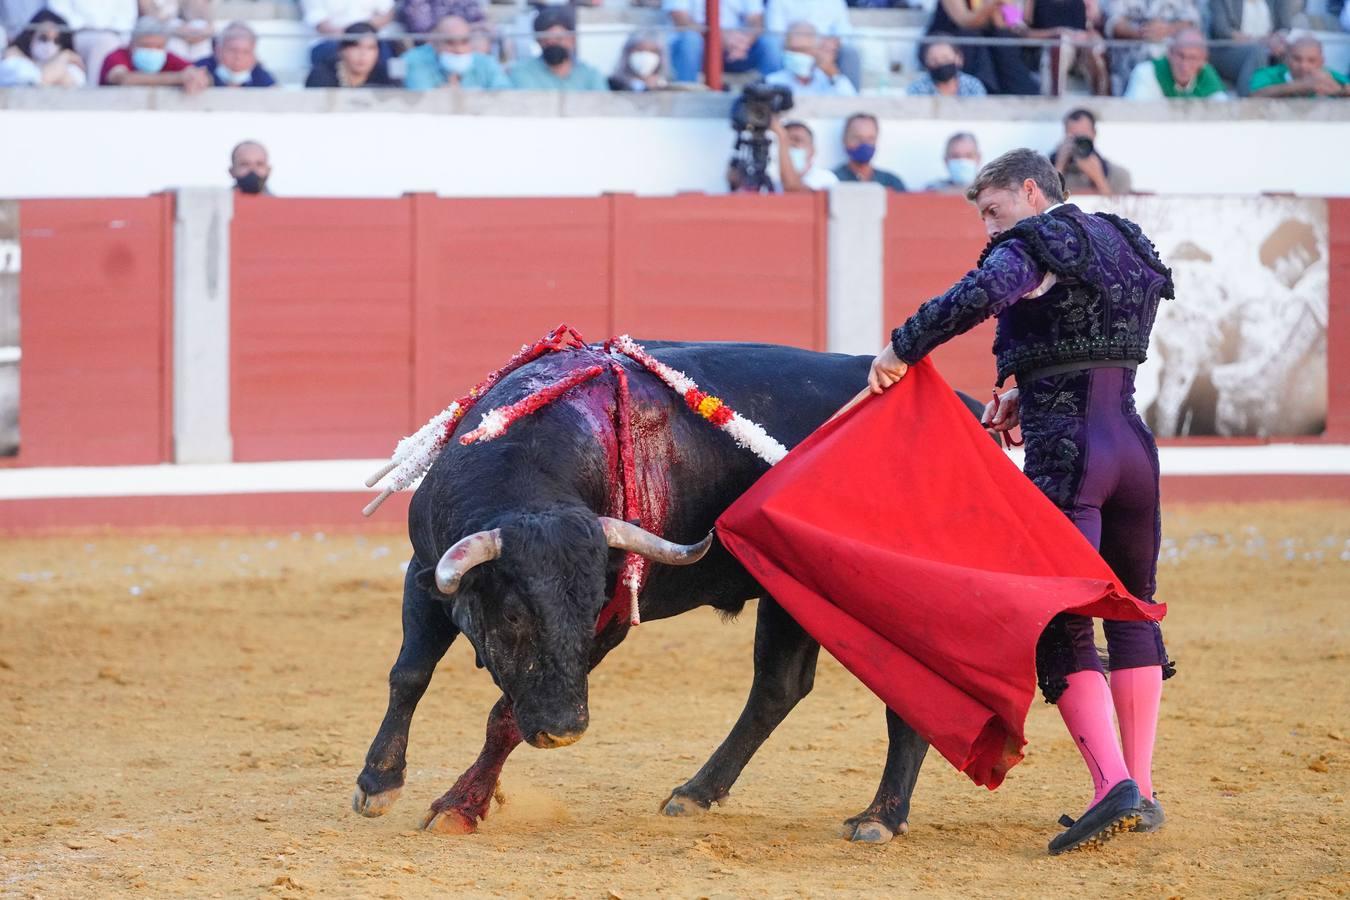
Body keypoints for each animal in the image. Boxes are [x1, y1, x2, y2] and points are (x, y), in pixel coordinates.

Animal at [353, 341, 988, 841]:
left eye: (590, 607)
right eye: (511, 616)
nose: (564, 730)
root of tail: (972, 414)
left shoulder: (610, 622)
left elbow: (502, 716)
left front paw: (460, 806)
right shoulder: (425, 574)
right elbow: (409, 674)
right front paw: (378, 782)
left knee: (911, 698)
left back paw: (879, 817)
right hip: (788, 601)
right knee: (778, 689)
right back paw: (696, 792)